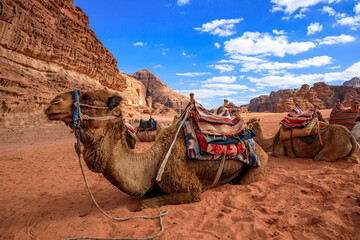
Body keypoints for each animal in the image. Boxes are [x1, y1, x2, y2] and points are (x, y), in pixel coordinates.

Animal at [45, 90, 268, 210]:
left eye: (90, 99)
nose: (52, 103)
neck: (153, 162)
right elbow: (144, 197)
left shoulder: (191, 188)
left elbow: (143, 204)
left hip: (258, 164)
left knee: (244, 180)